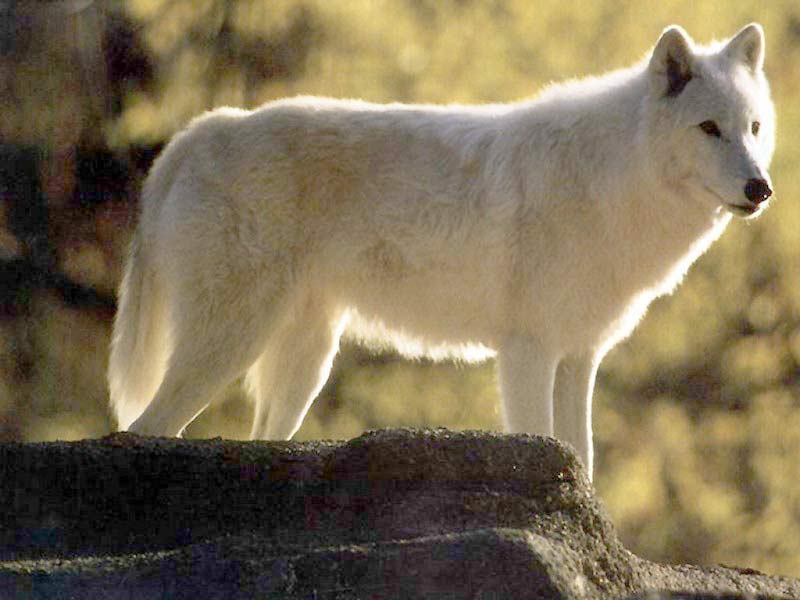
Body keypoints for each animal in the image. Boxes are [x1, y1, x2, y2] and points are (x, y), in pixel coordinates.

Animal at [109, 24, 774, 478]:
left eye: (754, 128)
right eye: (709, 129)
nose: (760, 189)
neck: (611, 178)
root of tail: (203, 128)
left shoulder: (579, 357)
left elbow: (582, 460)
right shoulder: (528, 352)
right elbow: (545, 441)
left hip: (304, 365)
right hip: (230, 345)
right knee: (141, 428)